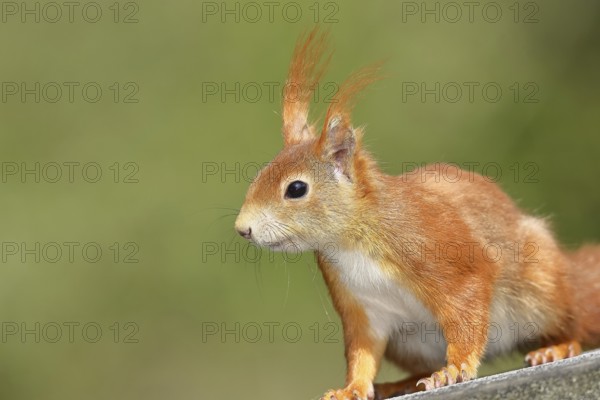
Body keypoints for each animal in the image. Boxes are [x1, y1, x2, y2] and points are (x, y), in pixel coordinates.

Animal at [233, 28, 600, 400]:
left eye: (296, 189)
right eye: (259, 175)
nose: (242, 228)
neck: (353, 240)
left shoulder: (449, 259)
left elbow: (466, 316)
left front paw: (455, 369)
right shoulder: (362, 307)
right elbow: (362, 353)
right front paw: (351, 388)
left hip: (542, 288)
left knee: (574, 323)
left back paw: (555, 347)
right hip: (411, 343)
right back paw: (401, 383)